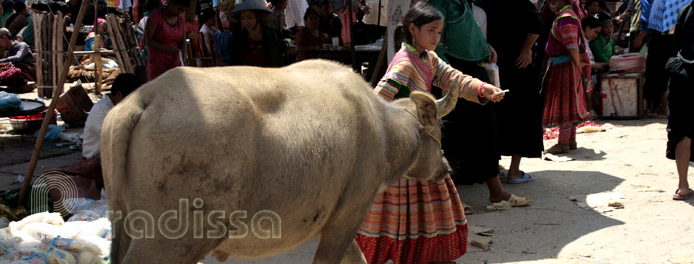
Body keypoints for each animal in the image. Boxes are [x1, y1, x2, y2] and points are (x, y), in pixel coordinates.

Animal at [100, 58, 464, 262]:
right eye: (441, 129)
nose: (446, 167)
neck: (385, 131)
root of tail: (148, 97)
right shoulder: (349, 215)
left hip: (125, 224)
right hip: (170, 240)